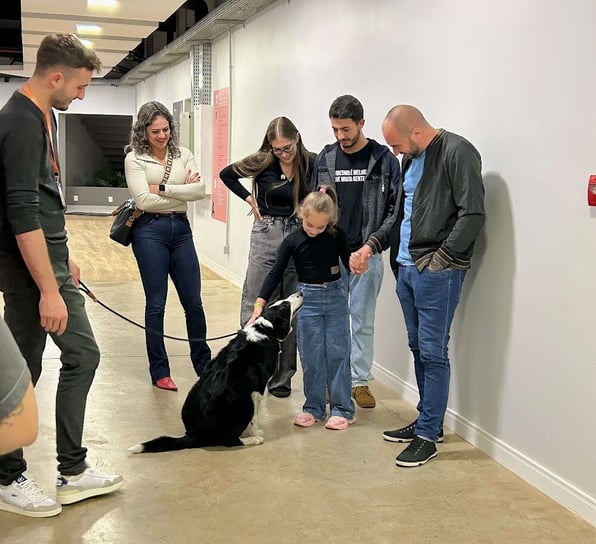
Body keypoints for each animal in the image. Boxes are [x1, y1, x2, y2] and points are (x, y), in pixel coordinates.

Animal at [129, 292, 302, 452]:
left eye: (281, 302)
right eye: (286, 305)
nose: (300, 292)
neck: (266, 330)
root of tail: (193, 436)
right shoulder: (257, 389)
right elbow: (256, 417)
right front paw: (256, 432)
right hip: (245, 404)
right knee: (229, 441)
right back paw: (253, 440)